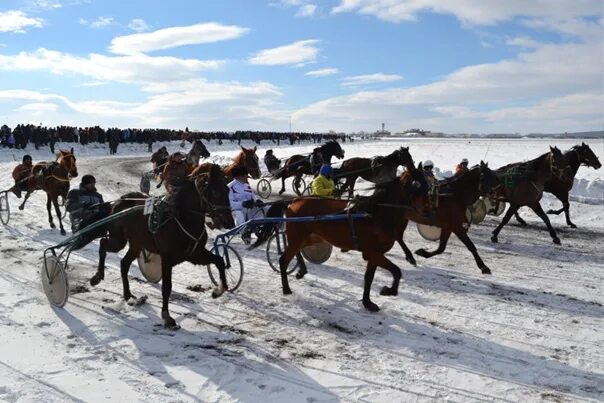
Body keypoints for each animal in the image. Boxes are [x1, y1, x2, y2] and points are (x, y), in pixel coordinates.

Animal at [89, 163, 234, 328]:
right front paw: (166, 316)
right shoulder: (167, 258)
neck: (180, 218)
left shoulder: (195, 254)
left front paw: (218, 291)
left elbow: (219, 261)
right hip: (118, 240)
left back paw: (128, 295)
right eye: (215, 192)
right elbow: (167, 287)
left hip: (137, 243)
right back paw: (97, 276)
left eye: (227, 189)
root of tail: (120, 201)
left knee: (124, 263)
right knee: (103, 244)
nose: (230, 222)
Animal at [250, 163, 430, 312]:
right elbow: (396, 271)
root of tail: (293, 202)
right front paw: (388, 290)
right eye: (416, 185)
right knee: (284, 259)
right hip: (299, 237)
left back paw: (301, 271)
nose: (427, 210)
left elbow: (369, 278)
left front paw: (368, 303)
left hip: (312, 237)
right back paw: (287, 288)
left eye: (427, 185)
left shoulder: (373, 255)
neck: (376, 214)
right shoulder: (373, 253)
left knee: (298, 251)